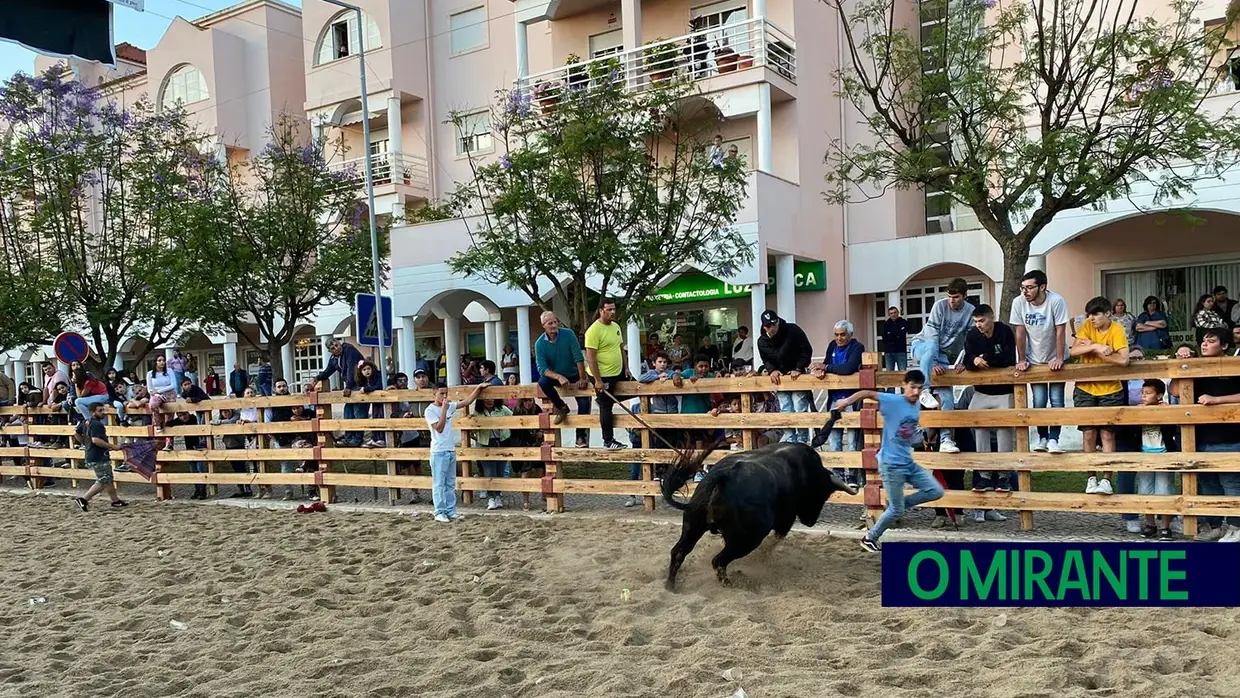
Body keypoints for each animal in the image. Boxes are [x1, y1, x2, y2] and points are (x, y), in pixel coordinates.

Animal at [664, 409, 858, 590]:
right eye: (823, 494)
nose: (810, 522)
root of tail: (722, 476)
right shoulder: (786, 518)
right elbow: (776, 539)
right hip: (747, 539)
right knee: (718, 560)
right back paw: (729, 583)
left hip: (693, 525)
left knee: (678, 552)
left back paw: (670, 585)